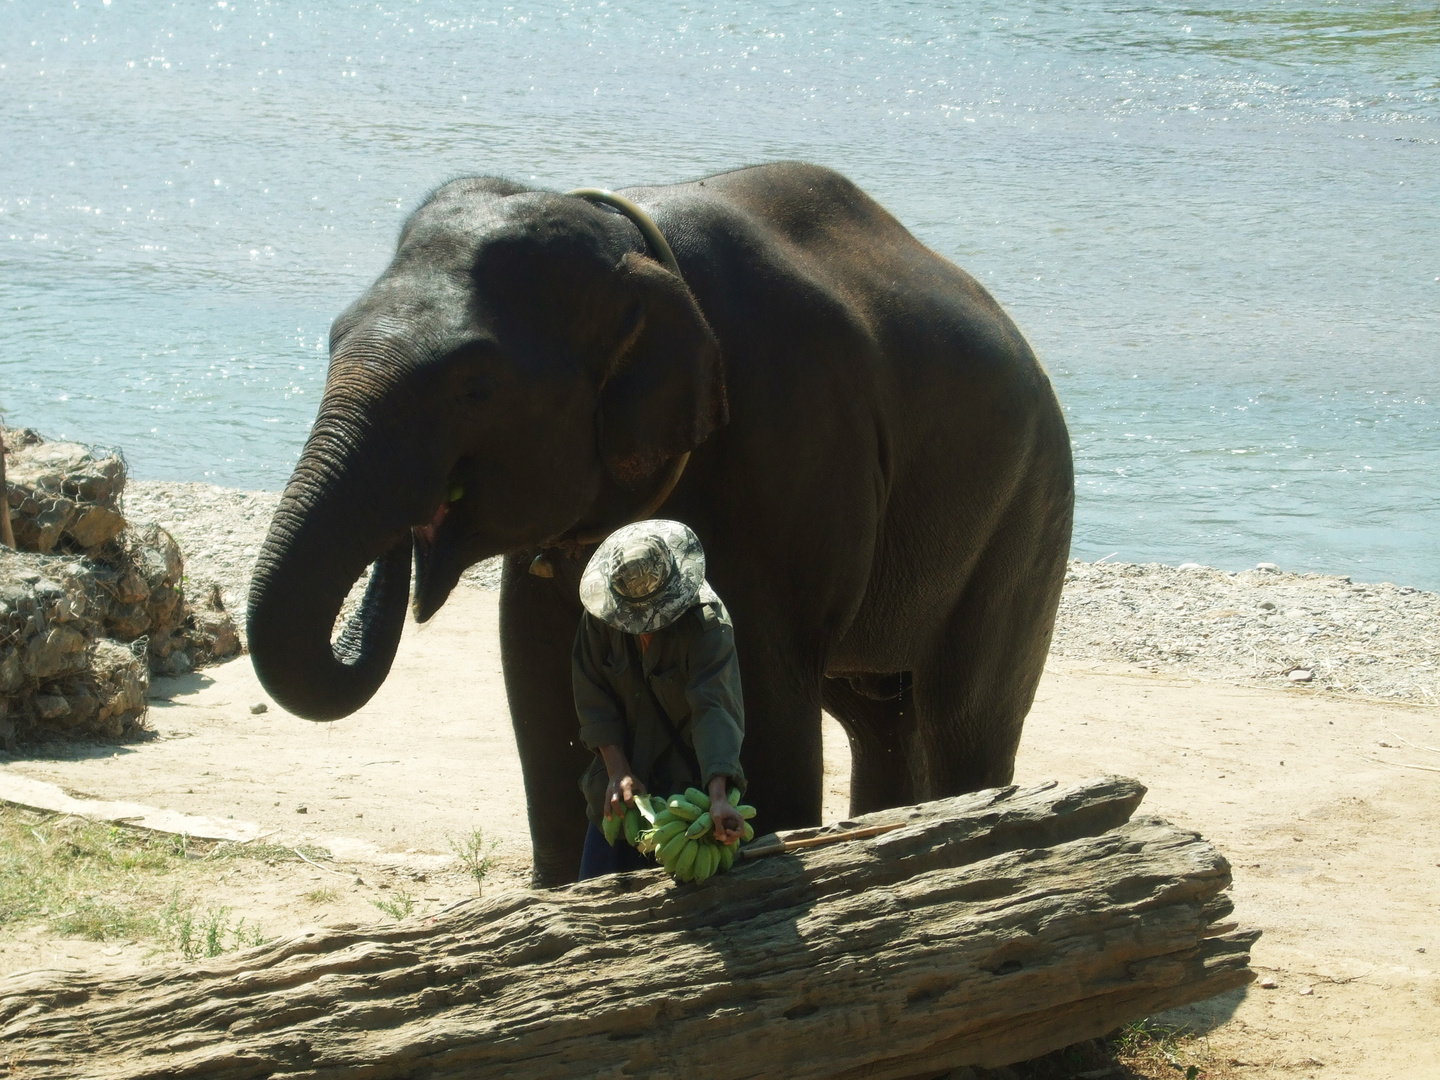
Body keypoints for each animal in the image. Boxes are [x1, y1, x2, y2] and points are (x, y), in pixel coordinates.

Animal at [247, 160, 1077, 887]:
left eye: (474, 384)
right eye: (333, 336)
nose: (411, 538)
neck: (632, 241)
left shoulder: (791, 446)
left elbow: (754, 689)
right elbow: (542, 677)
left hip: (1027, 517)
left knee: (962, 716)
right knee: (881, 719)